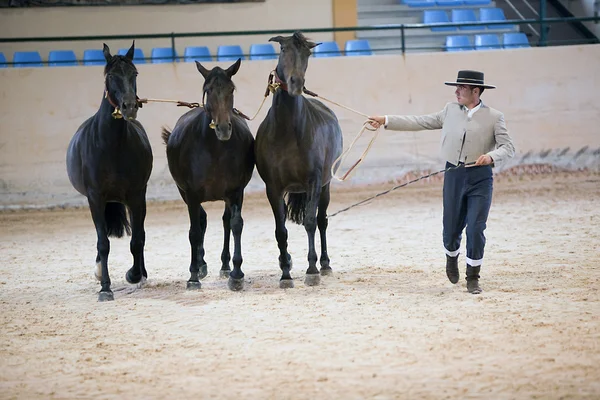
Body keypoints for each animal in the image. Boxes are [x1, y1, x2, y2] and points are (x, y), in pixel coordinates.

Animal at [66, 42, 152, 302]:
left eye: (135, 73)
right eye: (110, 76)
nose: (129, 107)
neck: (111, 146)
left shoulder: (136, 196)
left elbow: (137, 239)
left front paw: (134, 274)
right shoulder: (95, 197)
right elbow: (103, 243)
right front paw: (105, 287)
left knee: (139, 233)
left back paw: (141, 274)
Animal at [161, 59, 254, 290]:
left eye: (231, 89)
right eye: (208, 90)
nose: (223, 128)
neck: (214, 149)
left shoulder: (236, 191)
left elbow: (235, 224)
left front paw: (236, 274)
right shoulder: (192, 194)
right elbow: (194, 232)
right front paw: (193, 276)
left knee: (225, 221)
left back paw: (225, 266)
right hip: (185, 194)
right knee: (201, 221)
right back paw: (200, 265)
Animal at [254, 31, 342, 288]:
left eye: (307, 54)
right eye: (283, 50)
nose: (295, 83)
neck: (286, 132)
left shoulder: (313, 182)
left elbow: (311, 222)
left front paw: (312, 270)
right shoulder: (273, 188)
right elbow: (280, 231)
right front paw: (285, 274)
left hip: (325, 187)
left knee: (321, 221)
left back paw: (325, 264)